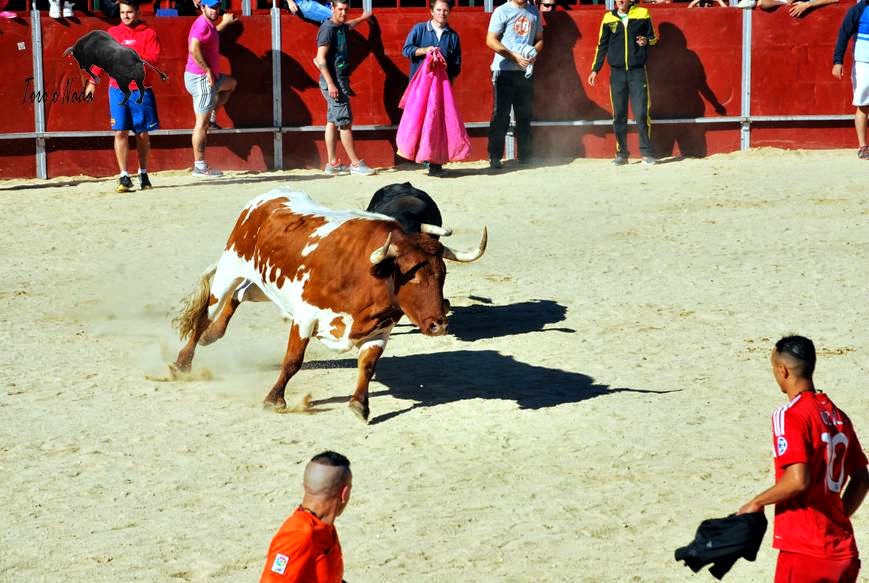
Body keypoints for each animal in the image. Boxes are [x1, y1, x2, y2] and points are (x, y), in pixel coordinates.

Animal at [170, 189, 487, 423]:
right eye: (413, 276)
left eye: (442, 274)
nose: (438, 324)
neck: (368, 274)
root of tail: (265, 199)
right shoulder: (305, 317)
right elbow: (293, 361)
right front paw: (274, 398)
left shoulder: (380, 331)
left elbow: (367, 366)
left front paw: (360, 405)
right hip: (230, 268)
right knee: (206, 314)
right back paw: (182, 363)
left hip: (264, 285)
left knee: (239, 296)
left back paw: (212, 336)